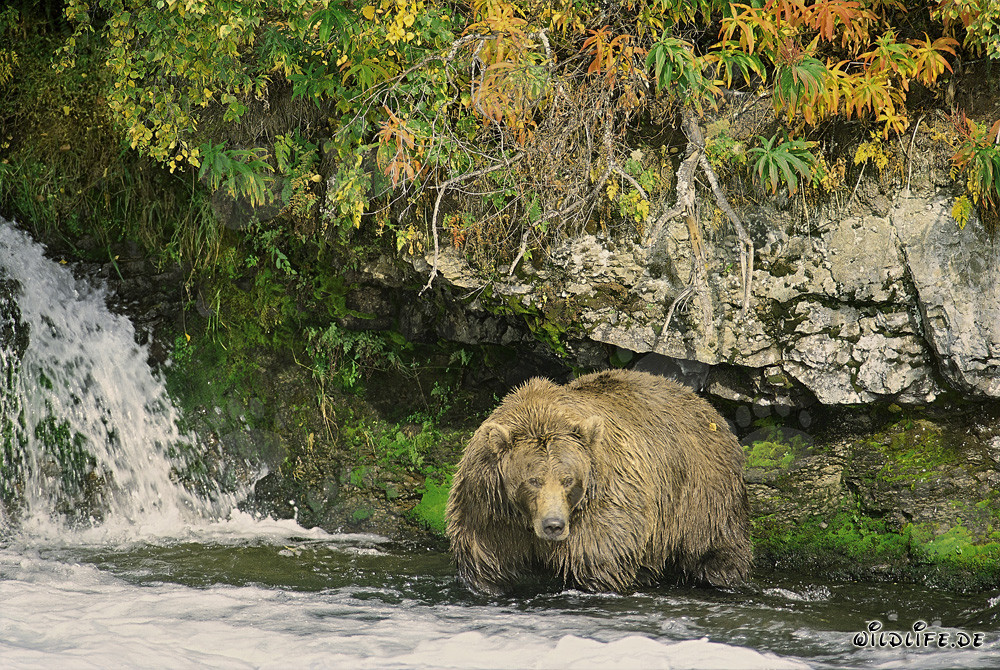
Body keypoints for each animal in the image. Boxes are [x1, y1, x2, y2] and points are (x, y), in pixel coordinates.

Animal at [445, 368, 752, 595]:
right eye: (533, 480)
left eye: (568, 479)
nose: (554, 525)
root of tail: (705, 405)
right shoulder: (489, 511)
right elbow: (486, 564)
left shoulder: (601, 506)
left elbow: (599, 558)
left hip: (701, 489)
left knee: (714, 540)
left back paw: (722, 574)